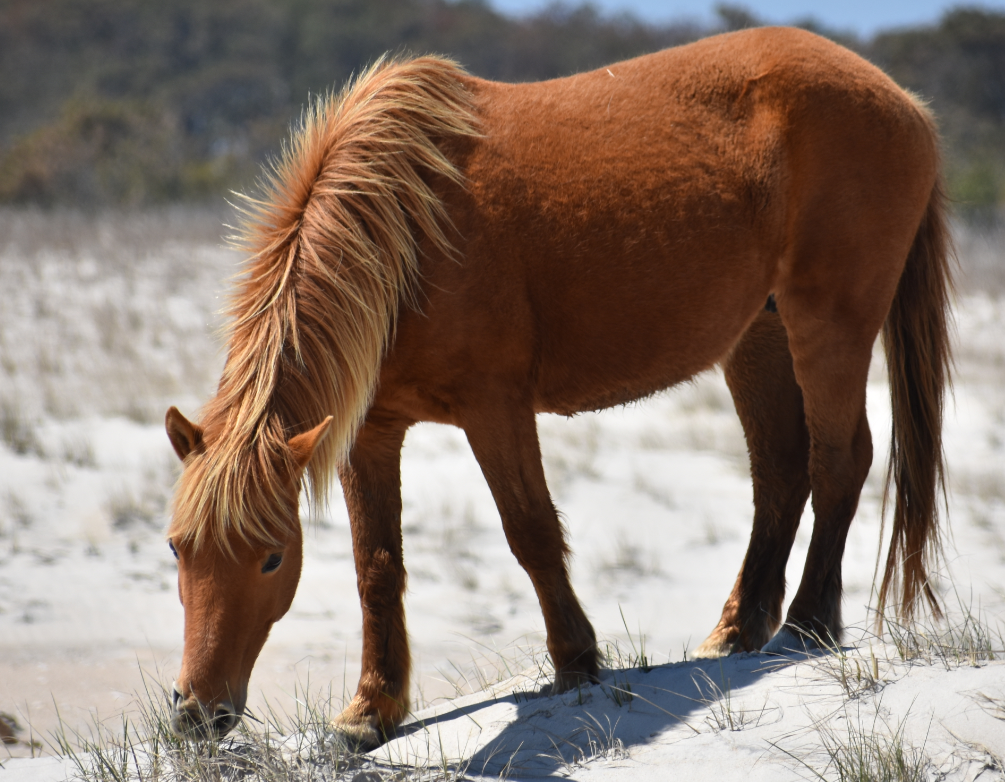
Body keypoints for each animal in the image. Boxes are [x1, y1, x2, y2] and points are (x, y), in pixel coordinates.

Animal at [163, 26, 953, 747]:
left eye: (271, 557)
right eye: (177, 549)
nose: (197, 714)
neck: (407, 228)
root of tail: (905, 103)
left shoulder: (495, 409)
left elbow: (531, 532)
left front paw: (576, 661)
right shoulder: (370, 431)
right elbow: (376, 566)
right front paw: (371, 709)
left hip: (829, 324)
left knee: (838, 460)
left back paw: (808, 624)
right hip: (756, 337)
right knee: (782, 471)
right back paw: (736, 630)